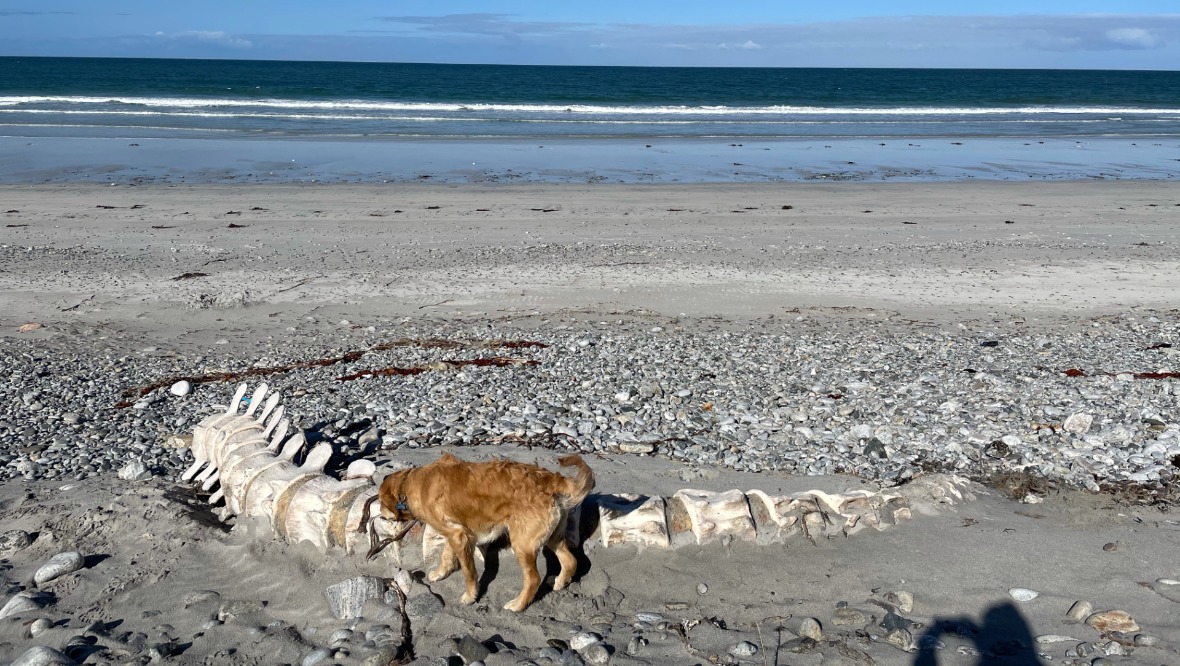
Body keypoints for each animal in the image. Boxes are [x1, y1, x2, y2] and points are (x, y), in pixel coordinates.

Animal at [377, 453, 594, 614]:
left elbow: (469, 572)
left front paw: (470, 596)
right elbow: (446, 555)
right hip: (553, 536)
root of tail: (550, 479)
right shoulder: (457, 532)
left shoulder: (459, 536)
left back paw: (518, 604)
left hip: (522, 544)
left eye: (380, 502)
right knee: (570, 560)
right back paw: (559, 582)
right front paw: (440, 573)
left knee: (533, 579)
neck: (409, 484)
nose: (379, 514)